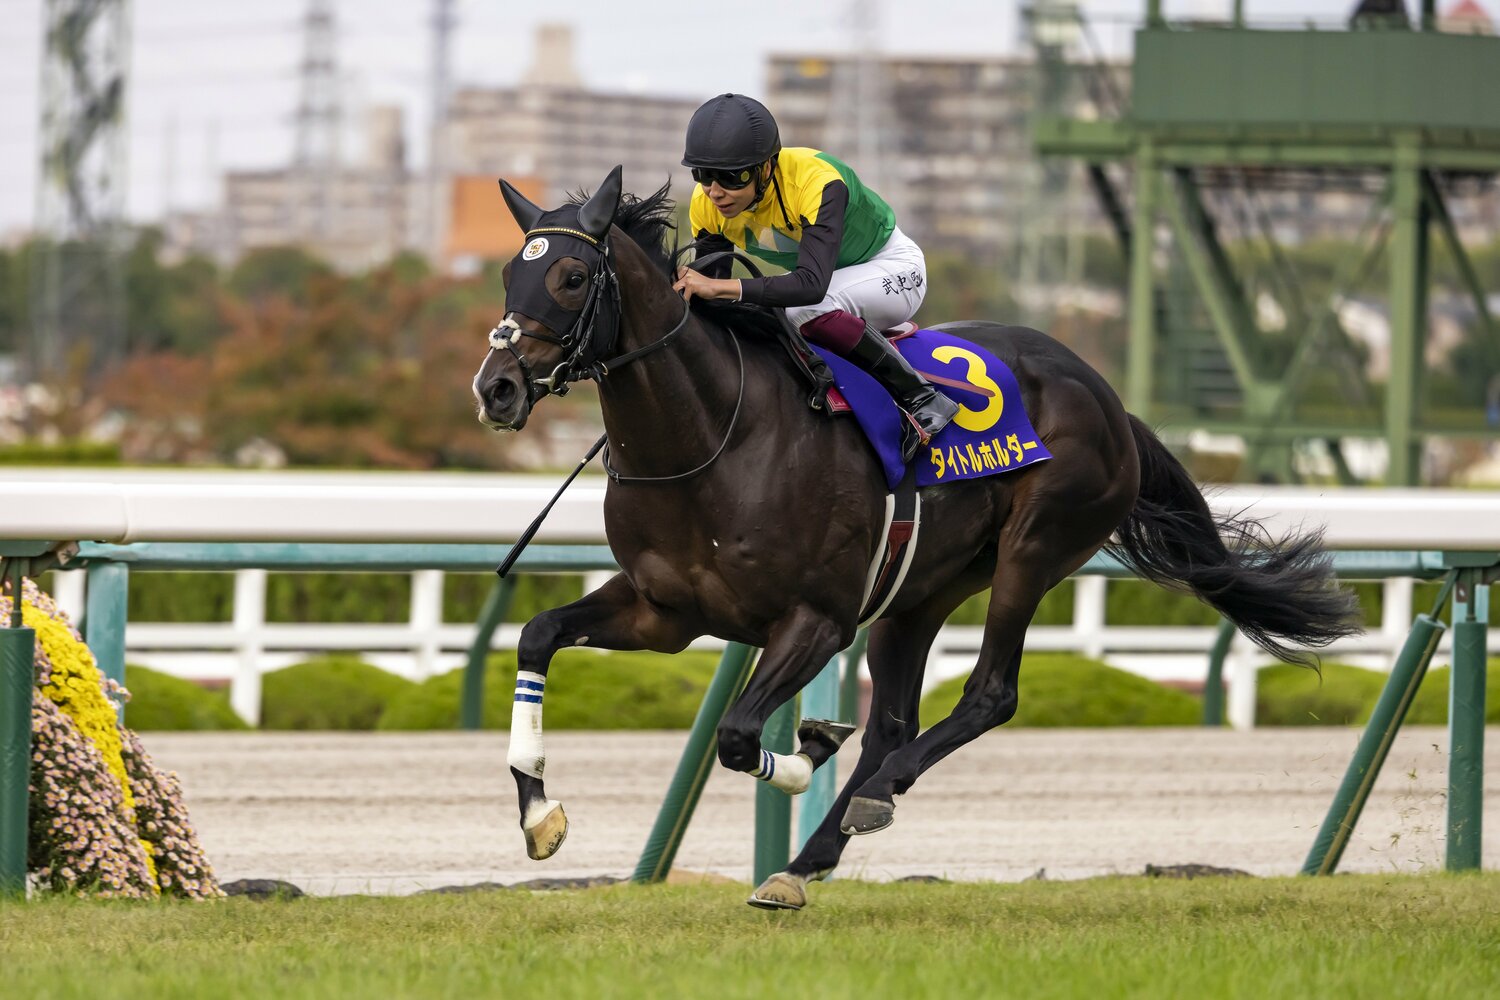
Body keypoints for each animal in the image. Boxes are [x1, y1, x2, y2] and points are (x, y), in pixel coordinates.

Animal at [471, 166, 1360, 910]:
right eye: (511, 273)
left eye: (572, 276)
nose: (498, 388)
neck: (714, 438)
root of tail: (1110, 400)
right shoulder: (664, 612)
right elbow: (539, 635)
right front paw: (540, 814)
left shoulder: (817, 620)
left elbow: (739, 736)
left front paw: (812, 746)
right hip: (919, 590)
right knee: (896, 720)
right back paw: (804, 864)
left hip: (1035, 549)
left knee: (986, 696)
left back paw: (869, 798)